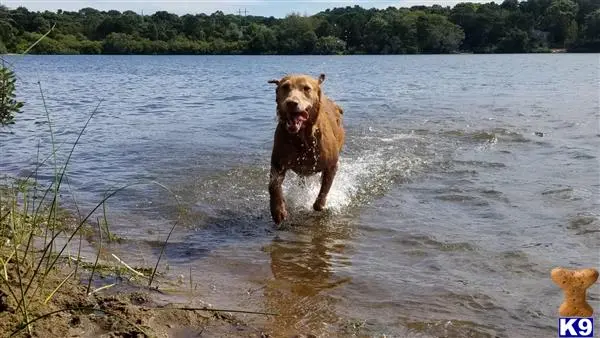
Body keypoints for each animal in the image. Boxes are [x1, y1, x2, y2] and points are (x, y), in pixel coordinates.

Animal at [266, 73, 344, 224]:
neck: (302, 137)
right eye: (285, 87)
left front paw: (319, 204)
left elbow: (324, 188)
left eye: (306, 88)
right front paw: (278, 210)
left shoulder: (331, 165)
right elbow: (273, 185)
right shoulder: (278, 163)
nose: (291, 103)